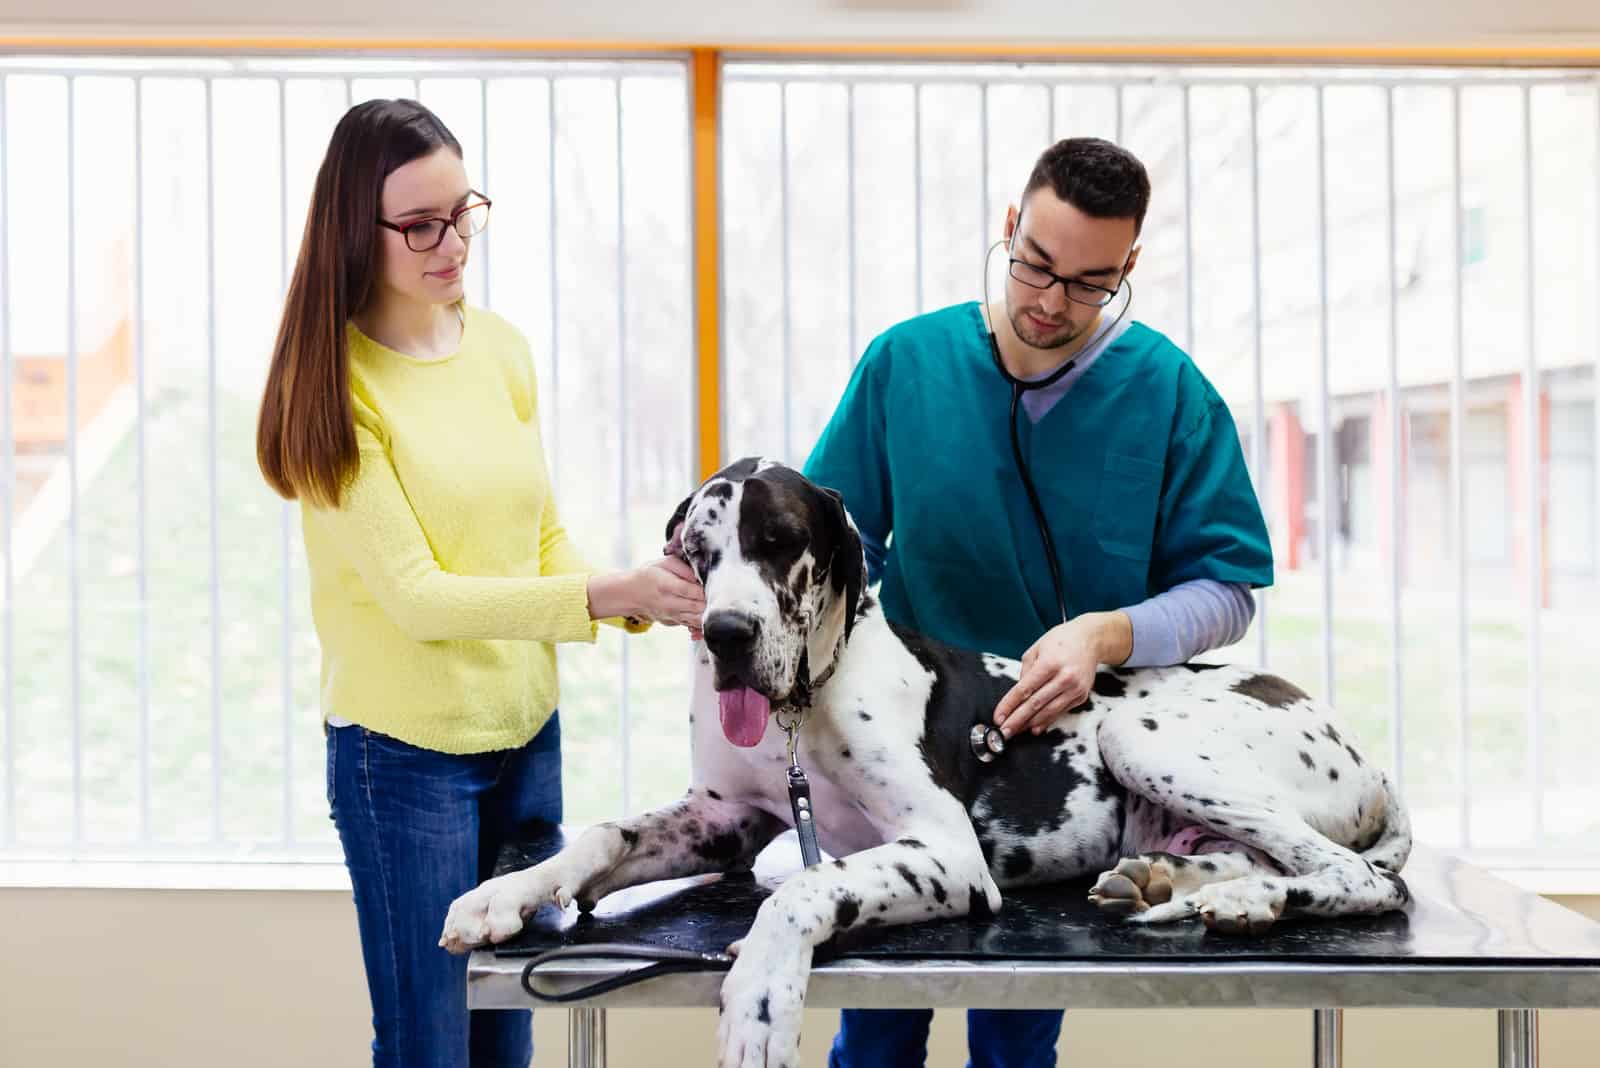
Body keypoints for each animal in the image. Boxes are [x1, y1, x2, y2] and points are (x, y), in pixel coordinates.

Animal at [441, 454, 1414, 1061]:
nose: (726, 635)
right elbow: (600, 836)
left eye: (780, 542)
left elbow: (803, 887)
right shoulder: (726, 817)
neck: (808, 702)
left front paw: (760, 998)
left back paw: (1244, 899)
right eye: (697, 552)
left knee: (1364, 878)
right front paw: (506, 891)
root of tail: (1364, 752)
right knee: (1277, 858)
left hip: (1136, 735)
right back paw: (1185, 885)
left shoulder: (947, 853)